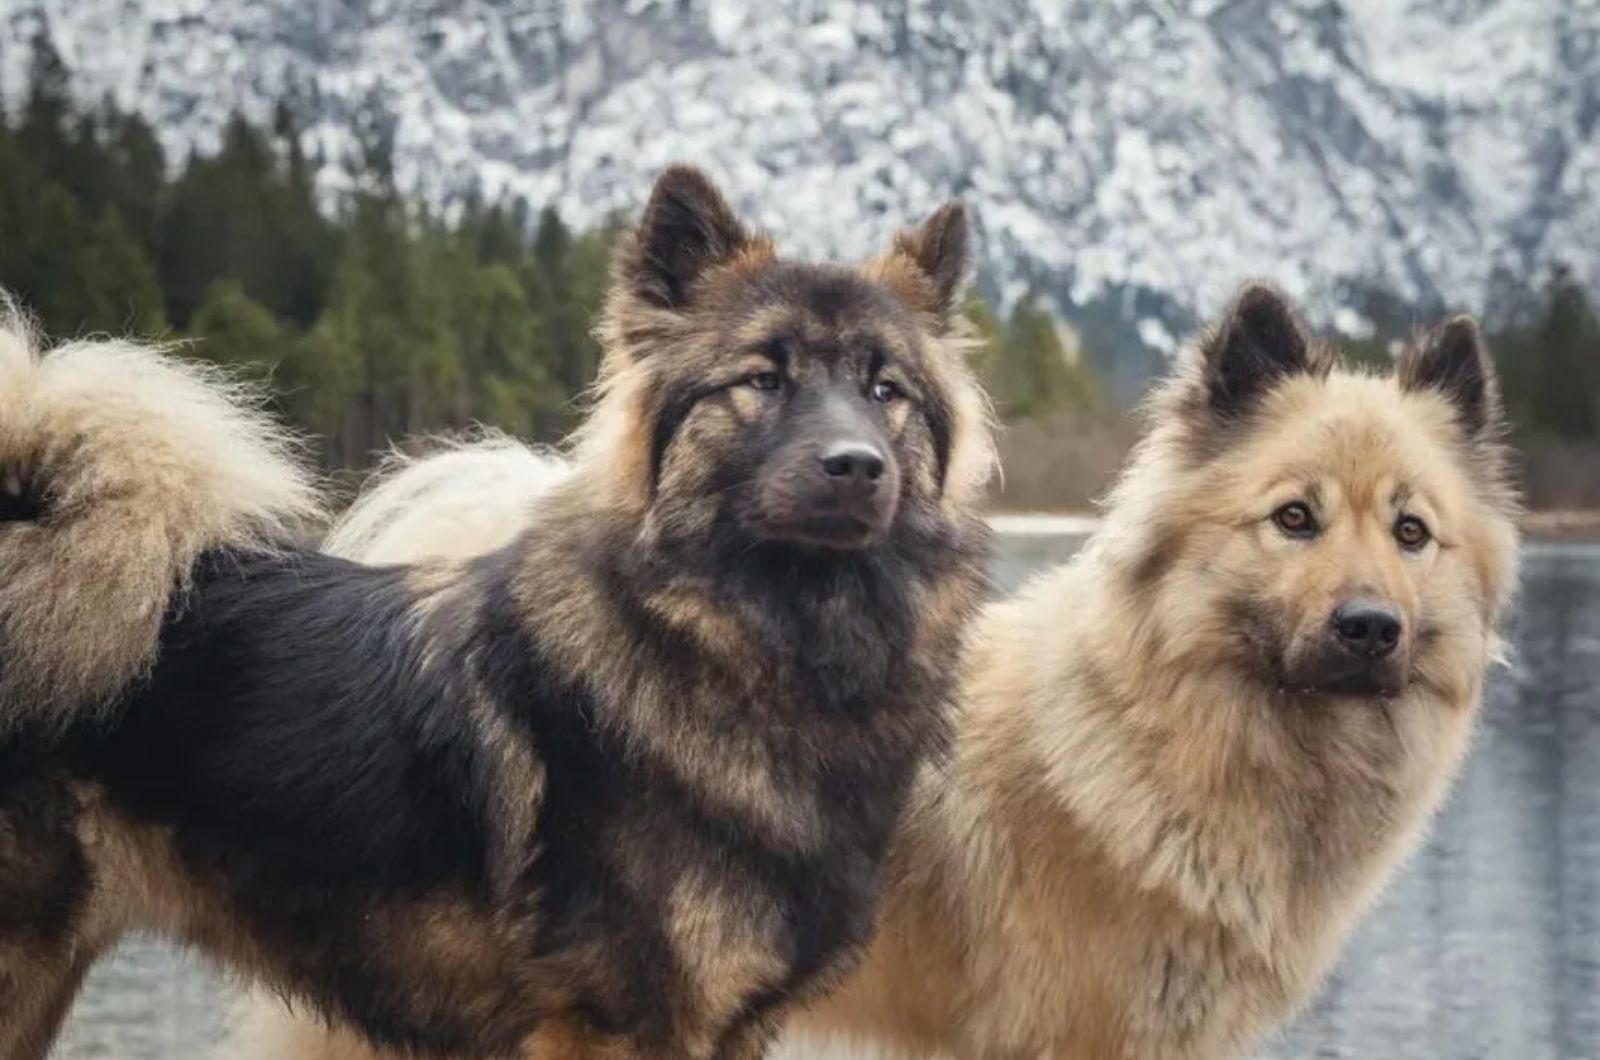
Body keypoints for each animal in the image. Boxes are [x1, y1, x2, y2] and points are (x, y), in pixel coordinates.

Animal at [0, 170, 985, 1056]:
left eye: (886, 390)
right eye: (763, 380)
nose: (855, 466)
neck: (757, 649)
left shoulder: (734, 1025)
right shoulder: (622, 1023)